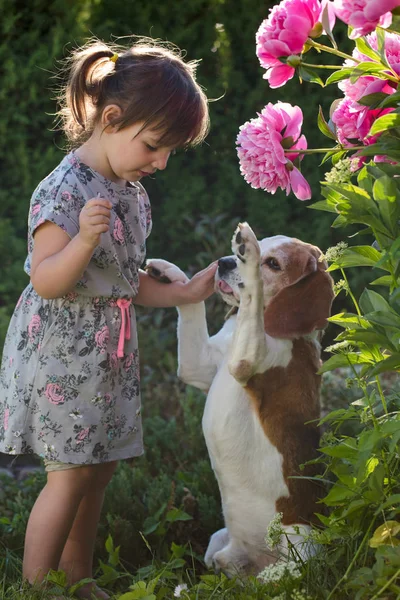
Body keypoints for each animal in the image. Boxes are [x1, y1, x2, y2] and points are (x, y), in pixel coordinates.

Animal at [145, 221, 332, 576]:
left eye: (273, 263)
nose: (226, 262)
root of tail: (257, 560)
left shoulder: (244, 361)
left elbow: (252, 293)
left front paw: (248, 261)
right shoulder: (199, 365)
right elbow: (192, 308)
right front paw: (175, 277)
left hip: (303, 543)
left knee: (293, 575)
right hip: (219, 538)